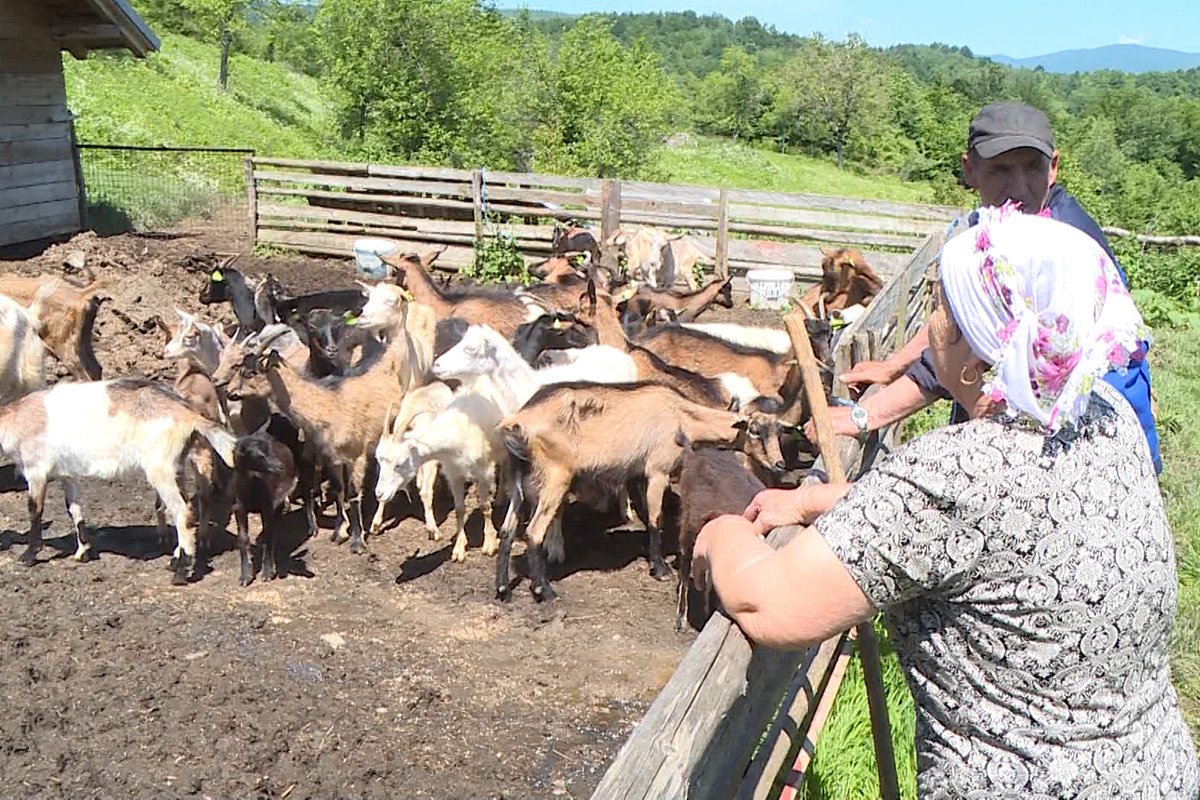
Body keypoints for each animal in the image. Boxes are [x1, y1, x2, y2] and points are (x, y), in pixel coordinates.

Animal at [0, 379, 236, 585]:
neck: (14, 419)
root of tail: (187, 414)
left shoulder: (36, 470)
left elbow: (34, 511)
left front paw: (29, 556)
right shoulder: (66, 474)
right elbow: (73, 508)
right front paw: (83, 551)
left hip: (160, 468)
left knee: (183, 512)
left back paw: (181, 573)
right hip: (175, 465)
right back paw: (174, 561)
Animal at [230, 422, 296, 585]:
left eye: (270, 450)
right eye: (259, 456)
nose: (280, 466)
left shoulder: (268, 506)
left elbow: (267, 535)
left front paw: (267, 572)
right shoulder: (239, 507)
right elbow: (243, 538)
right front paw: (245, 576)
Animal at [374, 376, 506, 561]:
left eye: (400, 462)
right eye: (378, 460)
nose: (378, 493)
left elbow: (484, 504)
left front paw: (489, 544)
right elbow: (460, 507)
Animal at [496, 381, 787, 599]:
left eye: (778, 432)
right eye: (754, 430)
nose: (779, 463)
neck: (680, 415)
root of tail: (516, 423)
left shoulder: (636, 475)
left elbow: (647, 516)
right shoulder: (657, 471)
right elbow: (656, 519)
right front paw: (660, 568)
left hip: (518, 482)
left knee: (507, 531)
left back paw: (502, 589)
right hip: (555, 478)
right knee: (534, 532)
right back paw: (544, 590)